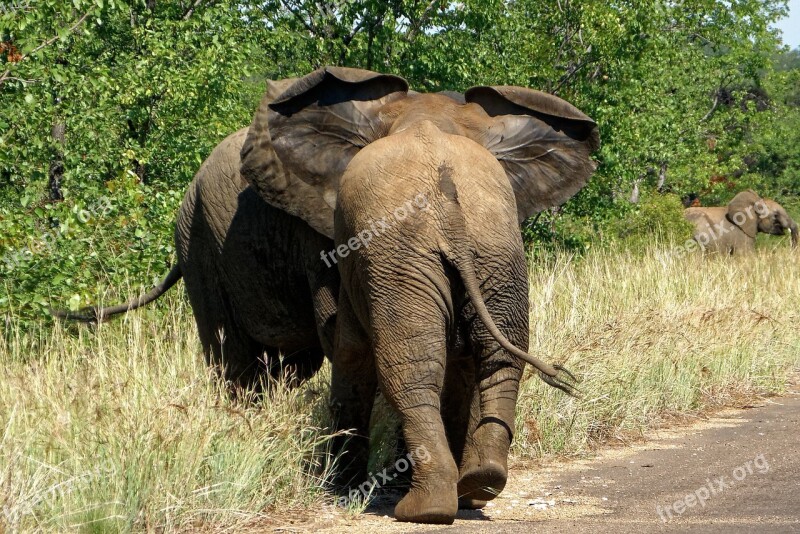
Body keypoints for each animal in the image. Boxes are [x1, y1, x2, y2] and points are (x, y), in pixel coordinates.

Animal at [244, 66, 600, 524]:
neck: (428, 117)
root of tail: (448, 200)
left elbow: (352, 352)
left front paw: (340, 489)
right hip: (494, 251)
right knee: (495, 357)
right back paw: (479, 485)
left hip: (404, 255)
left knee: (409, 368)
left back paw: (424, 507)